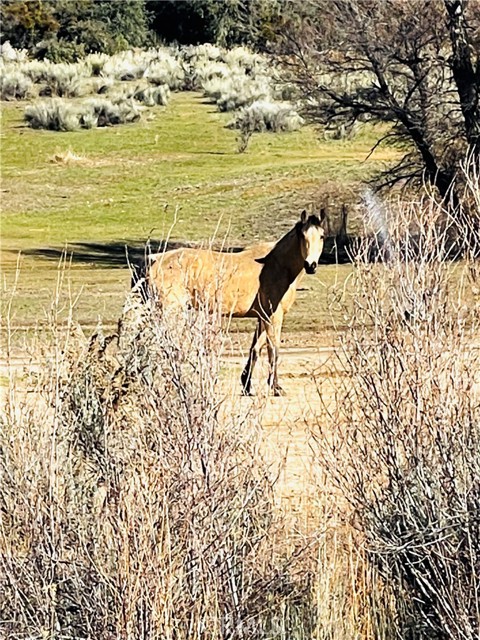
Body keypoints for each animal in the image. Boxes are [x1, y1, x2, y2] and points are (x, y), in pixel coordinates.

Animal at [139, 210, 326, 396]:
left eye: (322, 236)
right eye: (303, 236)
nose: (311, 265)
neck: (277, 265)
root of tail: (155, 259)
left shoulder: (262, 317)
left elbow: (255, 349)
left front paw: (247, 385)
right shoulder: (273, 316)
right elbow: (273, 350)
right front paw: (276, 387)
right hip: (169, 312)